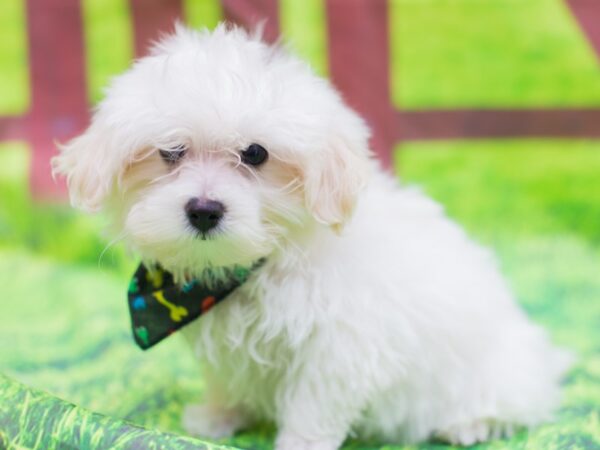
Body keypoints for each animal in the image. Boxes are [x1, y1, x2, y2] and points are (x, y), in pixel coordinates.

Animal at [55, 24, 572, 450]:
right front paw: (218, 418)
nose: (204, 210)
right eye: (170, 152)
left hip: (498, 372)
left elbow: (313, 405)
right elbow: (226, 381)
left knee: (516, 403)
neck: (256, 268)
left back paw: (470, 424)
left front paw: (297, 443)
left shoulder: (338, 347)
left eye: (256, 154)